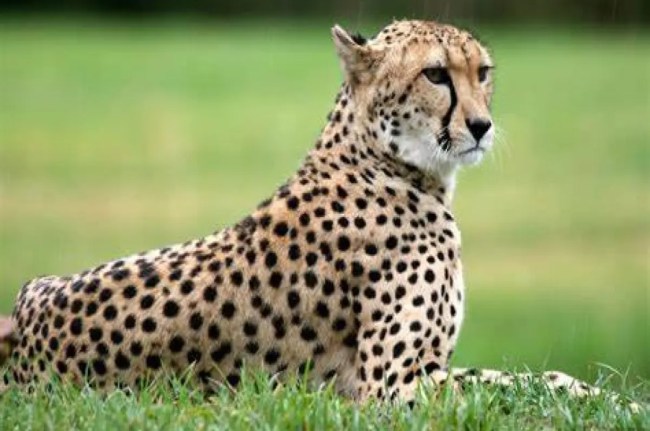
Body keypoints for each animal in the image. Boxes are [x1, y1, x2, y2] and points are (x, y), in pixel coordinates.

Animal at [0, 20, 639, 410]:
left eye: (482, 73)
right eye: (436, 74)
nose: (482, 126)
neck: (388, 162)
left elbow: (534, 377)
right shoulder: (391, 387)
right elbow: (522, 382)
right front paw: (617, 400)